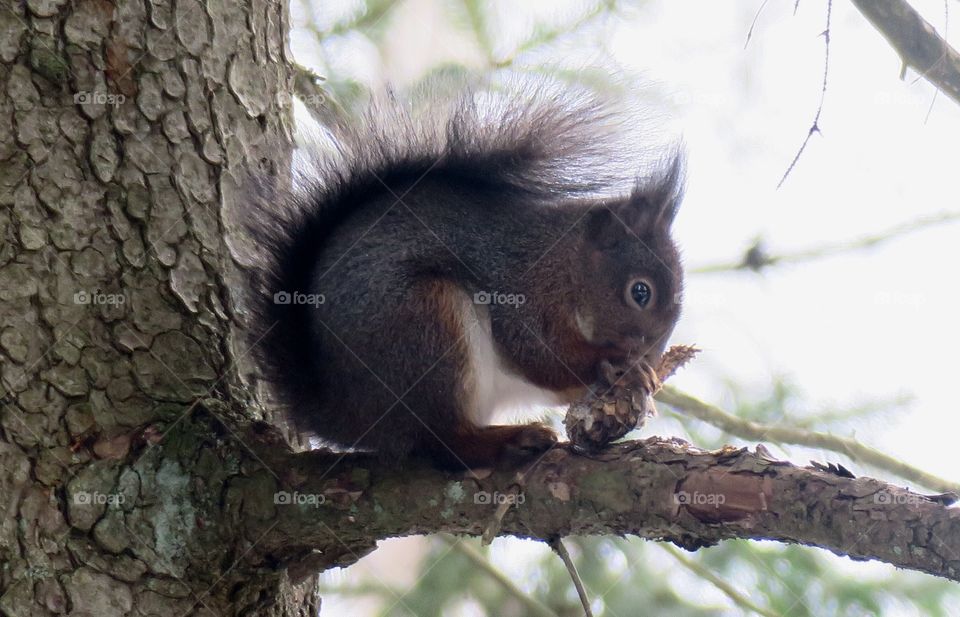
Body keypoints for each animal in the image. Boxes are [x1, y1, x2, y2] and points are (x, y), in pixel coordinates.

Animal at [242, 76, 685, 470]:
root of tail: (347, 414)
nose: (650, 355)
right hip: (424, 327)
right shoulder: (521, 286)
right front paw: (616, 363)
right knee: (445, 442)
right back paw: (509, 441)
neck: (567, 260)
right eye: (640, 292)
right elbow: (539, 354)